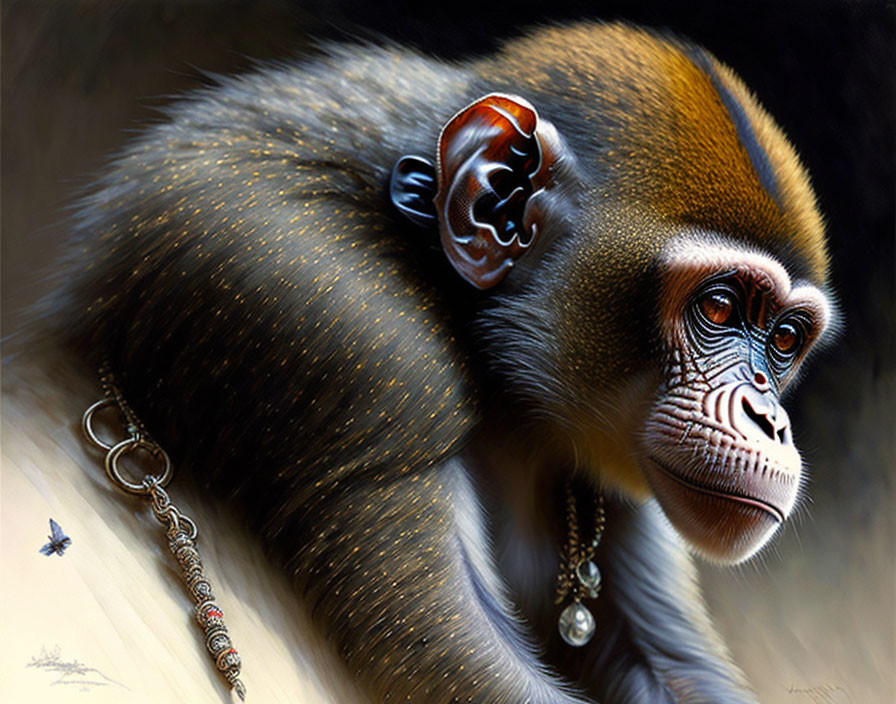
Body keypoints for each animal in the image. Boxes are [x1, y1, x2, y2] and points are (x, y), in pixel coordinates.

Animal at [47, 19, 832, 700]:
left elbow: (665, 663)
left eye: (784, 339)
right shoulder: (343, 319)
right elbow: (446, 650)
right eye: (720, 307)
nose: (769, 419)